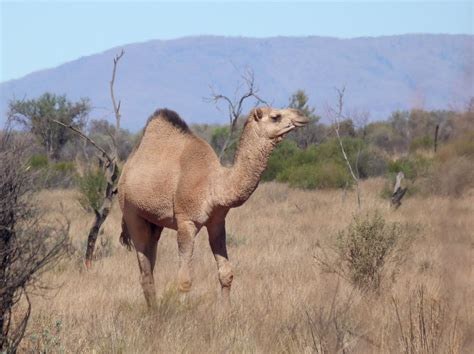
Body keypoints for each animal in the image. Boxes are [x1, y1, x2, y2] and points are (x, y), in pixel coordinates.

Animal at [118, 107, 310, 306]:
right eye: (275, 116)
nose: (302, 116)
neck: (214, 185)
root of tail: (126, 169)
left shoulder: (217, 222)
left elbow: (226, 274)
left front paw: (225, 311)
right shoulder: (186, 222)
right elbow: (185, 280)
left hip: (155, 222)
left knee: (150, 263)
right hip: (131, 212)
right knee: (145, 270)